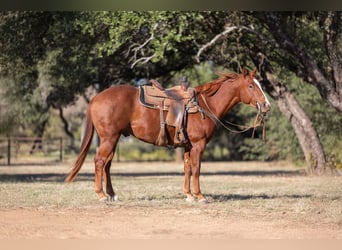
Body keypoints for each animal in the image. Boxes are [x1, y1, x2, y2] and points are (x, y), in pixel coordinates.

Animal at [66, 68, 270, 203]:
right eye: (251, 86)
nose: (266, 105)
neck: (205, 105)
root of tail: (95, 98)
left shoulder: (188, 146)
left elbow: (187, 168)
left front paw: (188, 195)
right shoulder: (199, 145)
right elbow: (196, 169)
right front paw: (200, 196)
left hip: (113, 139)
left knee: (107, 164)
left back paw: (112, 194)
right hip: (109, 138)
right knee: (100, 162)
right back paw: (101, 195)